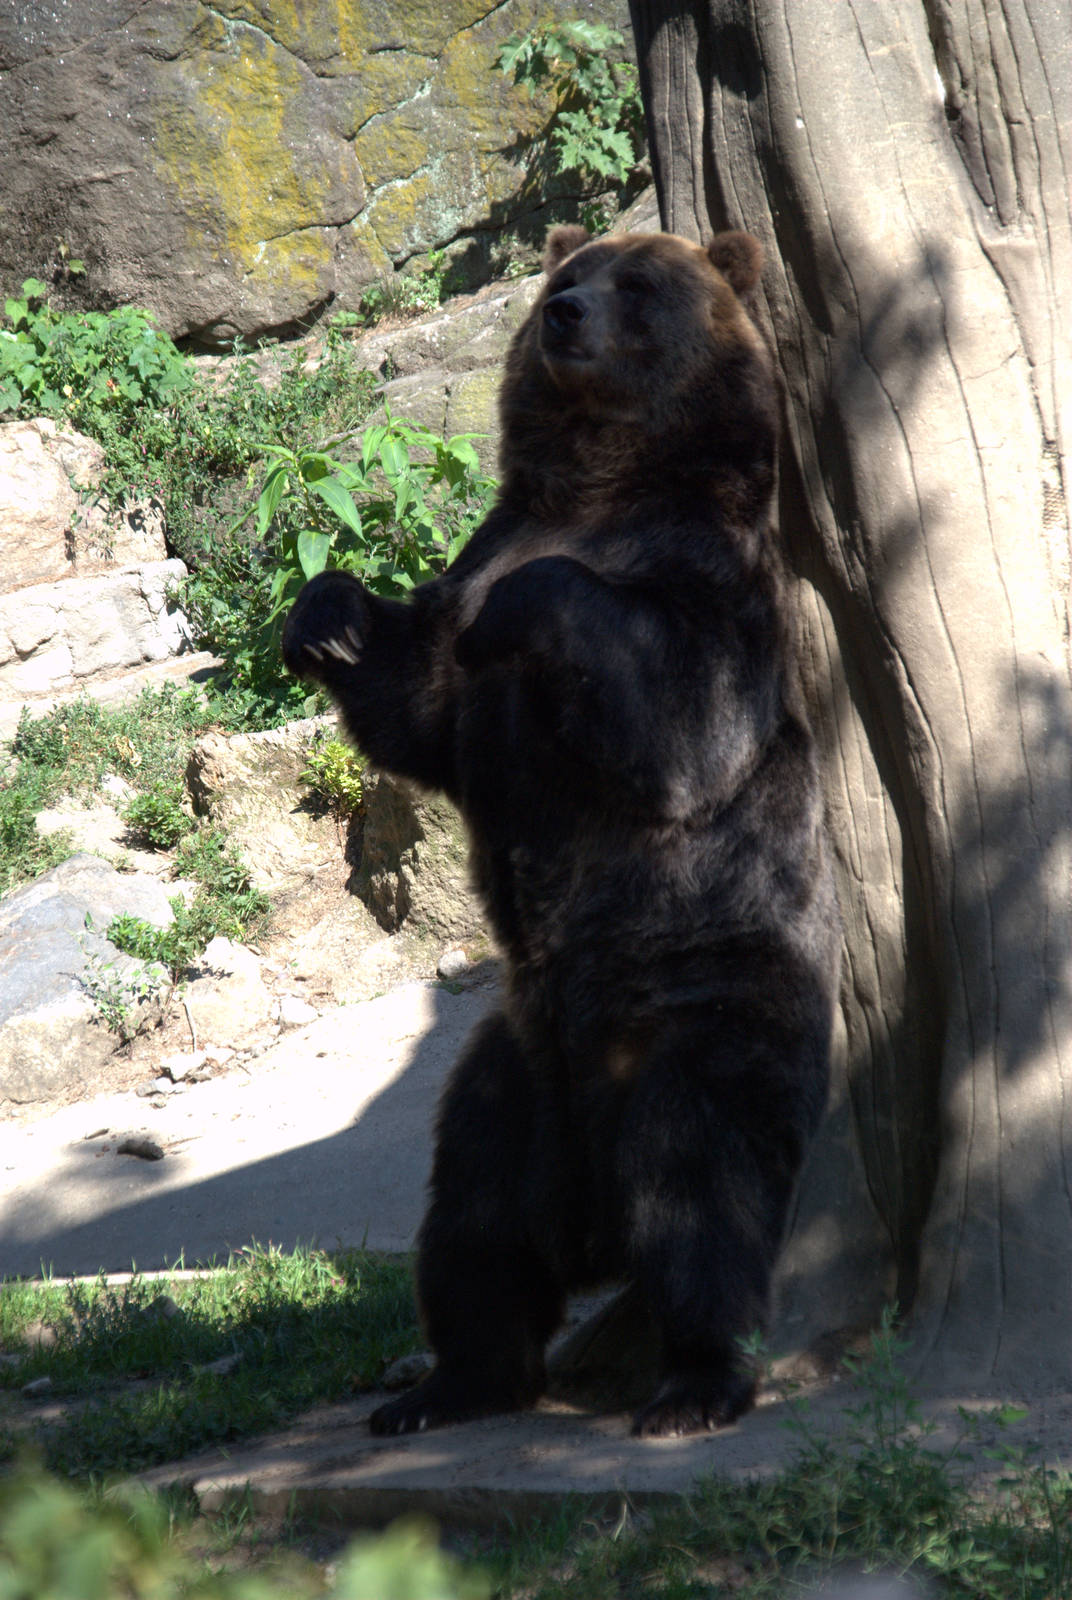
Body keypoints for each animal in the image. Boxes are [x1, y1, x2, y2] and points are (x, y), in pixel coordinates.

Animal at [281, 225, 840, 1438]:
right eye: (569, 273)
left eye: (636, 283)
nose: (562, 316)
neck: (600, 482)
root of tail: (587, 1210)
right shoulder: (484, 548)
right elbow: (421, 699)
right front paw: (327, 615)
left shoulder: (708, 582)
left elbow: (680, 723)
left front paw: (520, 612)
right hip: (503, 1073)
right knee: (473, 1230)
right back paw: (443, 1387)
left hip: (701, 1008)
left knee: (702, 1194)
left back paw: (693, 1383)